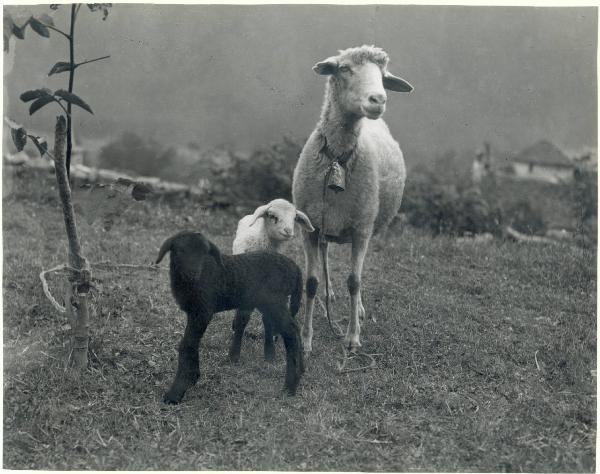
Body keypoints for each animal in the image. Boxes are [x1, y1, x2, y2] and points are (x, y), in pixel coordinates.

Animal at [156, 231, 304, 404]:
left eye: (204, 253)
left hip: (274, 300)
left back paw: (290, 386)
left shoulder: (203, 310)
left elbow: (187, 344)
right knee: (293, 328)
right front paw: (192, 376)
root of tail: (295, 268)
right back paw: (301, 370)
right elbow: (191, 343)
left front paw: (178, 389)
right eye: (180, 251)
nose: (193, 274)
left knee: (291, 331)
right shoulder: (194, 312)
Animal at [229, 197, 314, 362]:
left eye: (294, 218)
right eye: (272, 216)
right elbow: (243, 316)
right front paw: (234, 355)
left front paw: (270, 353)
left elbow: (268, 319)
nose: (288, 231)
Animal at [292, 45, 414, 352]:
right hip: (324, 223)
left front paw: (352, 336)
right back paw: (328, 296)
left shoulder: (361, 229)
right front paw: (306, 339)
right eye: (344, 68)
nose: (378, 99)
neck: (337, 158)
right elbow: (311, 282)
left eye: (383, 75)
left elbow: (354, 281)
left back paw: (355, 309)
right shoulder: (309, 229)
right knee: (325, 255)